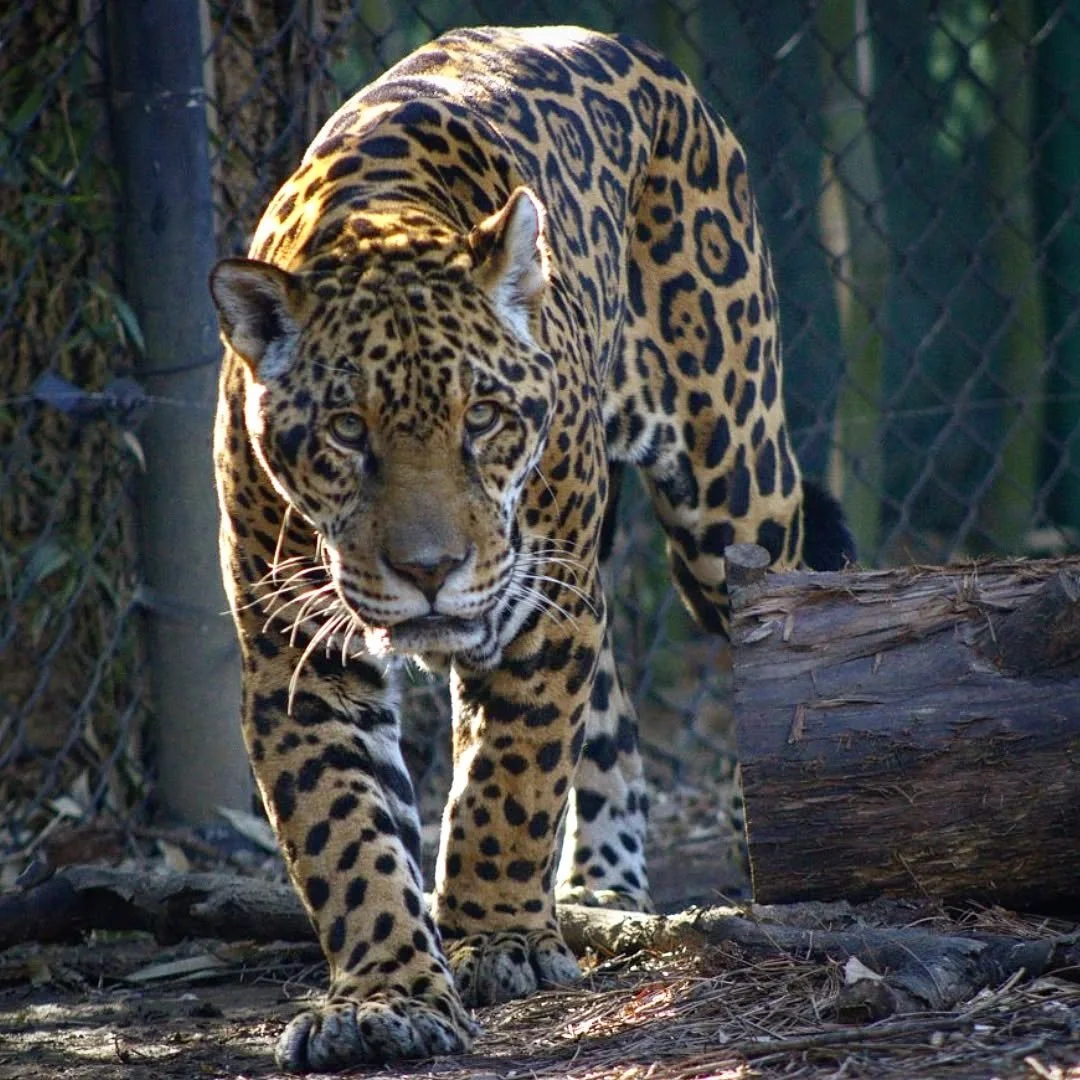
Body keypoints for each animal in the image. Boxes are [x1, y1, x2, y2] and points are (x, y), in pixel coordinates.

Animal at [209, 24, 853, 1073]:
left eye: (484, 418)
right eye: (346, 430)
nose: (429, 571)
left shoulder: (542, 612)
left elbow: (507, 783)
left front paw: (497, 942)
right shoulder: (296, 651)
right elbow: (343, 831)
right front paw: (385, 994)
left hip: (731, 490)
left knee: (783, 621)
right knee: (612, 718)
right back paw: (602, 889)